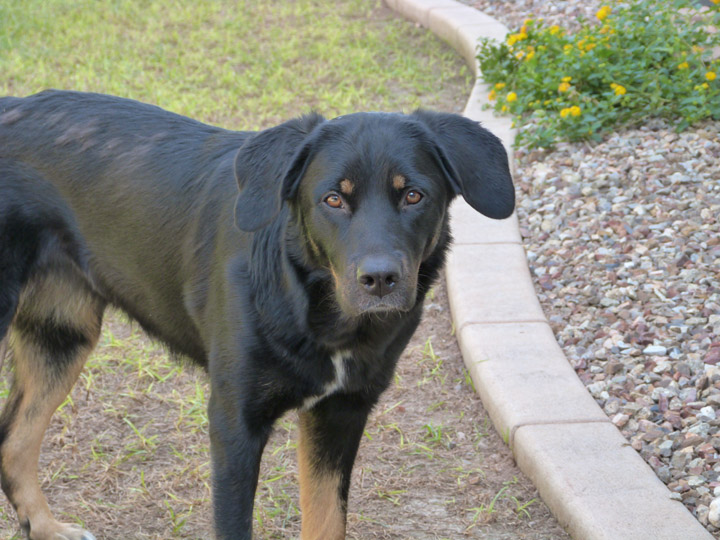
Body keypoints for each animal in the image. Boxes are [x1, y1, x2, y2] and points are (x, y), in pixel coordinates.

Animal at [0, 90, 512, 536]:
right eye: (333, 199)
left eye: (413, 196)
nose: (381, 279)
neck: (312, 305)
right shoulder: (234, 422)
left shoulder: (341, 412)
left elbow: (327, 521)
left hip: (60, 337)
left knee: (13, 442)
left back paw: (46, 529)